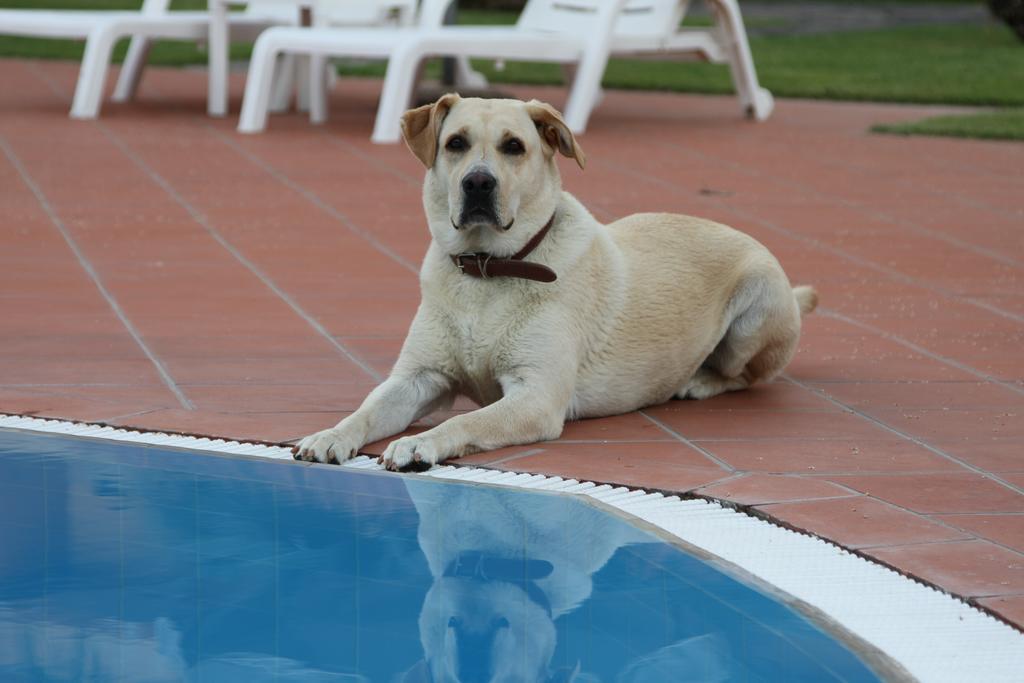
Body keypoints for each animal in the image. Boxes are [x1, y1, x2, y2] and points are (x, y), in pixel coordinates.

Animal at [294, 94, 815, 471]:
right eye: (455, 143)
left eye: (514, 146)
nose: (478, 183)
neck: (488, 270)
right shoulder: (416, 378)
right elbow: (365, 410)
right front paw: (330, 435)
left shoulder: (536, 396)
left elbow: (469, 419)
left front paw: (420, 442)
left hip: (758, 306)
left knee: (746, 376)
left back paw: (700, 380)